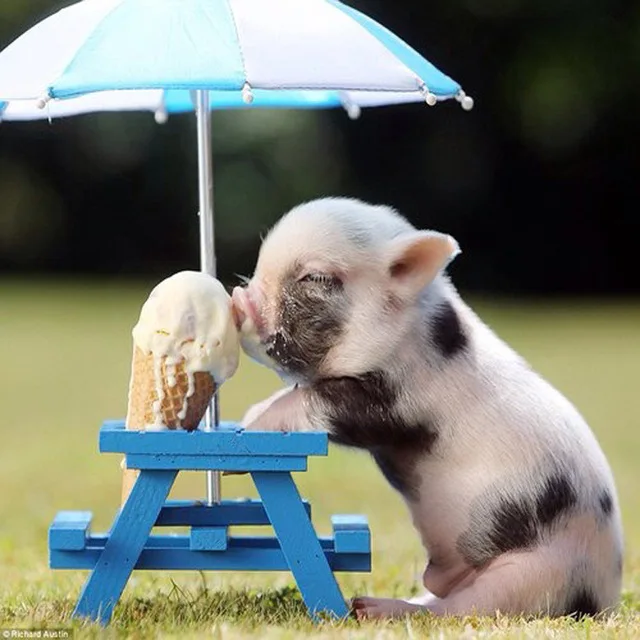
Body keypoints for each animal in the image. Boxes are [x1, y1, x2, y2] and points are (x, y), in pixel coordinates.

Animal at [231, 197, 623, 620]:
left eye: (315, 278)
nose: (238, 299)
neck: (408, 333)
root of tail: (605, 598)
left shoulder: (396, 402)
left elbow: (318, 399)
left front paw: (250, 425)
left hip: (535, 575)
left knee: (461, 609)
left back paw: (369, 609)